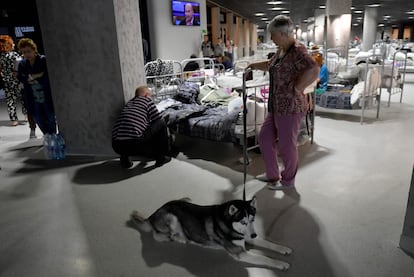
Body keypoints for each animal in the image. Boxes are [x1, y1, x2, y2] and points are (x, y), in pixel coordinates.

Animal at [128, 196, 292, 270]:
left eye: (252, 219)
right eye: (243, 222)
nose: (253, 235)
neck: (228, 223)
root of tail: (153, 214)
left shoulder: (246, 237)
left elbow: (269, 243)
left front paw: (284, 249)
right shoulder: (239, 252)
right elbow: (266, 258)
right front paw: (281, 263)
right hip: (171, 217)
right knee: (157, 235)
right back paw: (179, 238)